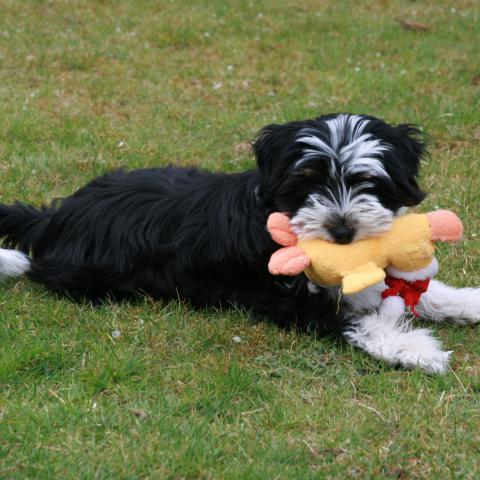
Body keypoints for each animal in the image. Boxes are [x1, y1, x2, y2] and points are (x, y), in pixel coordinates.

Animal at [0, 114, 480, 374]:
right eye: (307, 184)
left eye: (368, 182)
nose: (342, 233)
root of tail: (54, 215)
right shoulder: (286, 300)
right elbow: (356, 321)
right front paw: (417, 350)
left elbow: (419, 292)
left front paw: (466, 302)